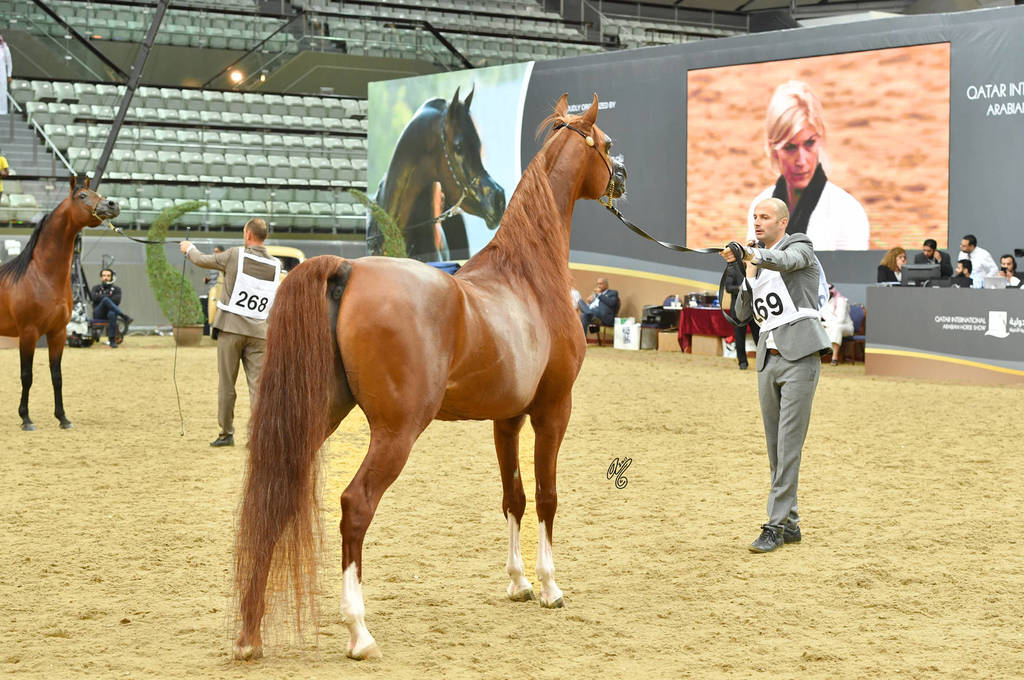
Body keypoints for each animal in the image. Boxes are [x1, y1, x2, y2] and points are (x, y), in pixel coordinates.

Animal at [0, 177, 120, 430]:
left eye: (96, 192)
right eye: (82, 196)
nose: (113, 204)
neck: (41, 276)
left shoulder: (58, 333)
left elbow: (57, 376)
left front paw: (63, 417)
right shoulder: (28, 333)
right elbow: (27, 375)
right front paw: (26, 419)